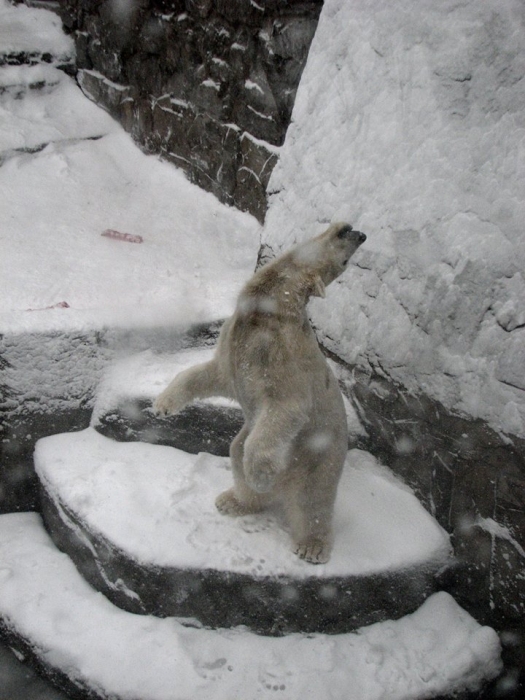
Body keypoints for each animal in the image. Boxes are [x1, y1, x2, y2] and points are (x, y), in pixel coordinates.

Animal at [154, 224, 366, 564]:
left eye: (344, 263)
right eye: (344, 252)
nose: (358, 233)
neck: (267, 308)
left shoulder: (278, 351)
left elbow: (287, 406)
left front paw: (263, 475)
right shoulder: (237, 341)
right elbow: (213, 373)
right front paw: (162, 404)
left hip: (318, 454)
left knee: (312, 497)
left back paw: (311, 545)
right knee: (236, 449)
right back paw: (234, 501)